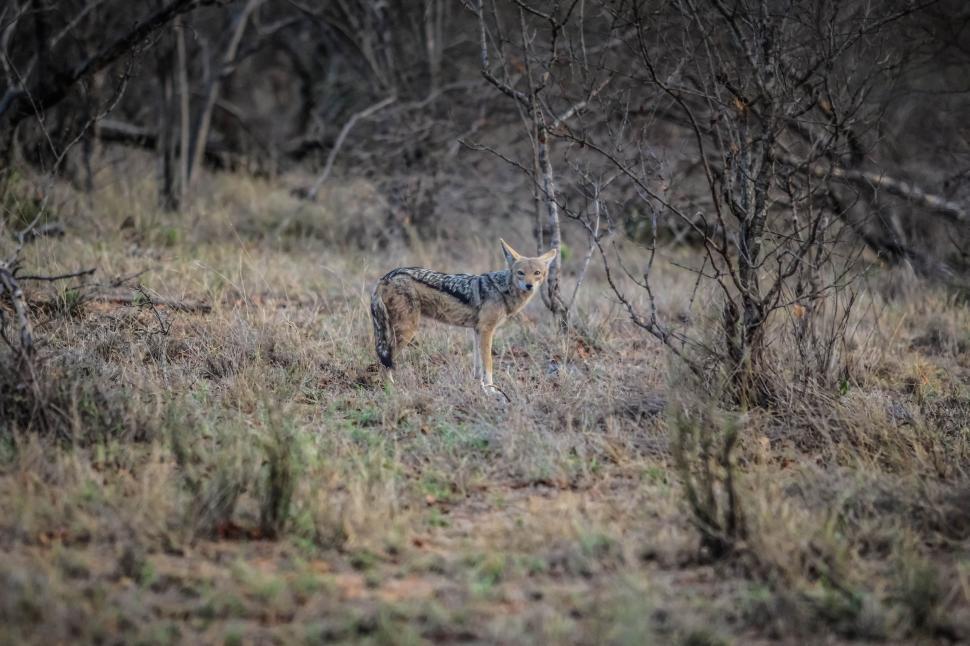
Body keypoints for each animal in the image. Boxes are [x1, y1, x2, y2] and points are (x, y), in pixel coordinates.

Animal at [370, 239, 557, 395]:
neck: (502, 290)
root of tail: (386, 277)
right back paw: (392, 390)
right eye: (520, 273)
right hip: (407, 331)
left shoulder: (477, 330)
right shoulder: (487, 330)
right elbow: (488, 364)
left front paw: (479, 388)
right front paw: (492, 391)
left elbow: (478, 367)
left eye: (537, 273)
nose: (529, 286)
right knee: (384, 362)